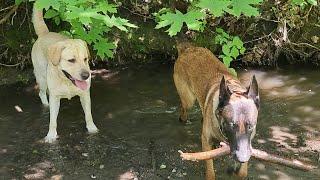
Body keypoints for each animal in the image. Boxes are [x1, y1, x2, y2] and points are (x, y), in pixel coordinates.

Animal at [31, 4, 99, 142]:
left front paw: (92, 128)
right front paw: (51, 135)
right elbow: (52, 120)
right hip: (42, 78)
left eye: (85, 59)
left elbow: (88, 114)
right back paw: (45, 104)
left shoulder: (85, 95)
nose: (86, 76)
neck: (67, 81)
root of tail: (44, 33)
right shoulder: (55, 98)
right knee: (42, 93)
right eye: (71, 60)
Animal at [172, 43, 260, 179]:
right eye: (231, 125)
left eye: (250, 126)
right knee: (183, 109)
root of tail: (187, 49)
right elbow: (210, 169)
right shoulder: (206, 140)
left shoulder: (247, 143)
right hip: (189, 100)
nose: (242, 158)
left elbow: (243, 172)